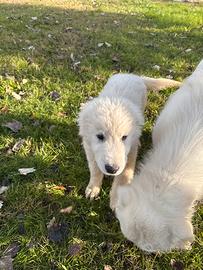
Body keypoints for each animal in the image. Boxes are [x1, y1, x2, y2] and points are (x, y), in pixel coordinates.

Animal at [78, 73, 181, 208]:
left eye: (124, 137)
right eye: (100, 136)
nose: (112, 169)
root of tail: (133, 75)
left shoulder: (131, 149)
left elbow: (124, 173)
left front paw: (117, 198)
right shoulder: (89, 147)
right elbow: (95, 168)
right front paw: (93, 188)